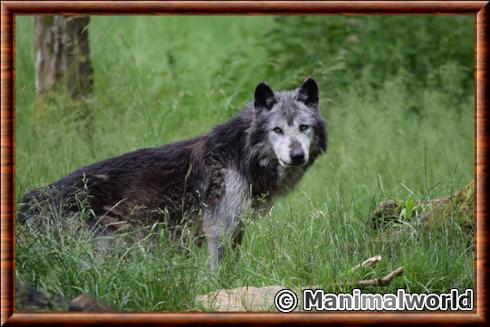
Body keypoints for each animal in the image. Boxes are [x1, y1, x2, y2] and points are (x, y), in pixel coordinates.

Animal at [17, 77, 328, 270]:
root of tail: (25, 205)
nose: (297, 156)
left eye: (303, 128)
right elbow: (217, 270)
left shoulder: (237, 226)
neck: (241, 154)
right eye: (277, 130)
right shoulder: (218, 228)